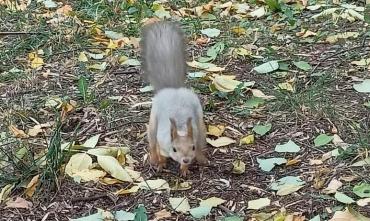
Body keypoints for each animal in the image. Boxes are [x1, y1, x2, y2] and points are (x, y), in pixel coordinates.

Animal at [140, 20, 208, 176]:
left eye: (192, 147)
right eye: (174, 149)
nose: (186, 159)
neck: (181, 127)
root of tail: (172, 89)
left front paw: (184, 169)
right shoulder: (162, 142)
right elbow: (161, 154)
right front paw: (161, 164)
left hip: (200, 126)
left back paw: (202, 158)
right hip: (153, 124)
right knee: (152, 143)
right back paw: (153, 159)